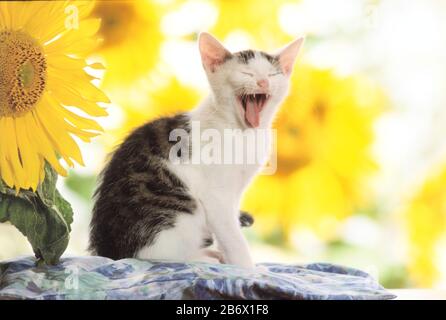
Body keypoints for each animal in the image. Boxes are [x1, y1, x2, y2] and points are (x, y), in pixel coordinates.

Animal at [88, 32, 304, 268]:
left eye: (273, 74)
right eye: (246, 72)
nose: (263, 81)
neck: (242, 132)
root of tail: (108, 250)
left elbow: (228, 229)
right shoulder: (216, 195)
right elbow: (232, 236)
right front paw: (247, 268)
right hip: (175, 219)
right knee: (159, 255)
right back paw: (204, 258)